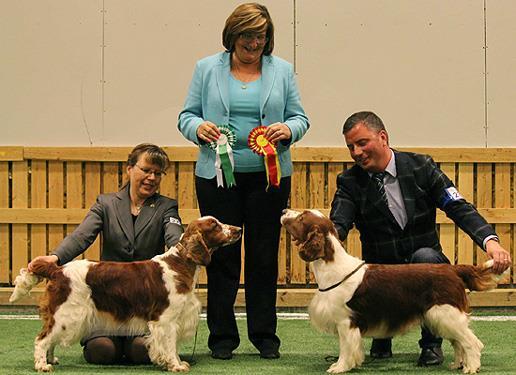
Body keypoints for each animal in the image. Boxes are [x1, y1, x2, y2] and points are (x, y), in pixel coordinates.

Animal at [9, 217, 241, 374]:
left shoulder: (173, 319)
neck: (179, 263)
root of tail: (57, 269)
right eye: (215, 225)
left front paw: (175, 362)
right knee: (42, 339)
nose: (239, 229)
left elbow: (171, 345)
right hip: (67, 314)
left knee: (49, 339)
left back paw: (51, 359)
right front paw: (175, 365)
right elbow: (169, 344)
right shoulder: (165, 320)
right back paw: (42, 365)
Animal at [280, 210, 510, 374]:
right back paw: (458, 364)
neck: (332, 266)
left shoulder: (346, 321)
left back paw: (471, 367)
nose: (283, 210)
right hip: (442, 317)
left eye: (301, 217)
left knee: (471, 342)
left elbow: (345, 348)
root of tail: (453, 269)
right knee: (458, 342)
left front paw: (339, 367)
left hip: (445, 313)